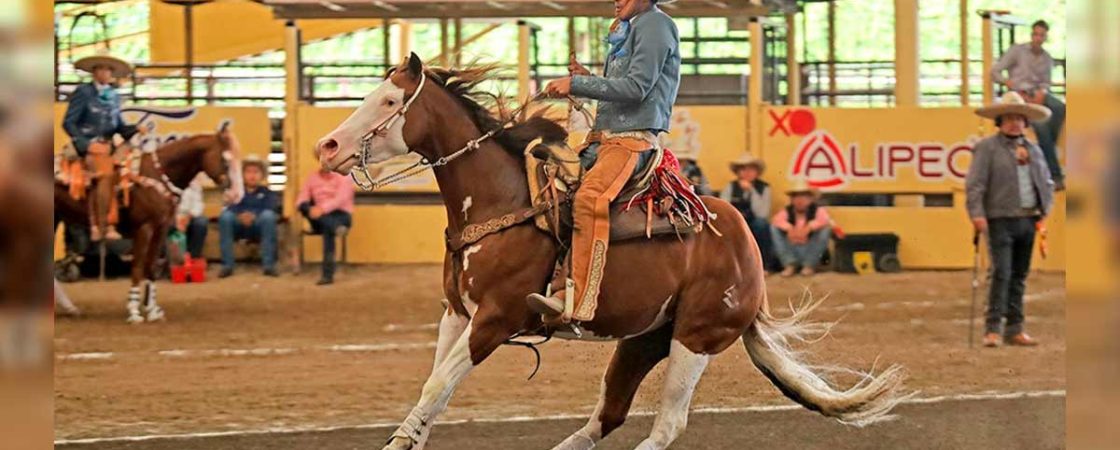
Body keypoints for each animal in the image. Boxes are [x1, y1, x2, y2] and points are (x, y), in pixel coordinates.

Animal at [54, 124, 245, 322]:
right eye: (225, 159)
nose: (236, 194)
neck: (158, 175)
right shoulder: (144, 228)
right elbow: (137, 267)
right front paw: (134, 311)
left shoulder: (160, 228)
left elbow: (150, 266)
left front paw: (152, 309)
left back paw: (70, 308)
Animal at [315, 55, 909, 450]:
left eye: (390, 102)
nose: (328, 147)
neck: (502, 200)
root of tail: (748, 250)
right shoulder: (457, 313)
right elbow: (431, 390)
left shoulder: (496, 319)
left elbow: (439, 385)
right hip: (643, 339)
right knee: (609, 415)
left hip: (697, 337)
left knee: (666, 424)